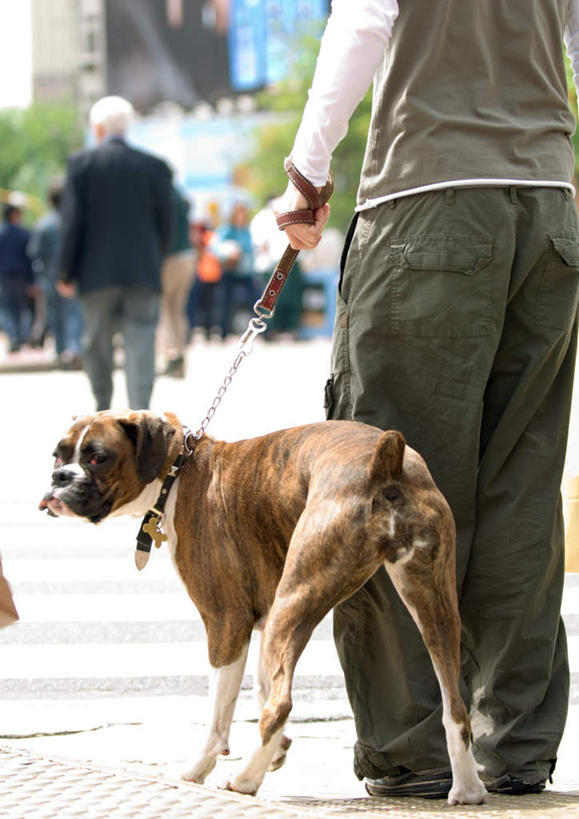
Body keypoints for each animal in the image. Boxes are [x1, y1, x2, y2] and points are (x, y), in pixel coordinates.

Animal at [38, 410, 488, 808]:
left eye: (97, 457)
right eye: (58, 455)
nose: (59, 478)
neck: (179, 469)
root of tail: (385, 461)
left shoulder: (226, 623)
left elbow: (222, 711)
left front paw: (197, 770)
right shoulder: (265, 618)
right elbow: (263, 683)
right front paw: (279, 750)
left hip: (299, 594)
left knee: (281, 706)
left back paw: (243, 780)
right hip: (431, 604)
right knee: (455, 706)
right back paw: (468, 788)